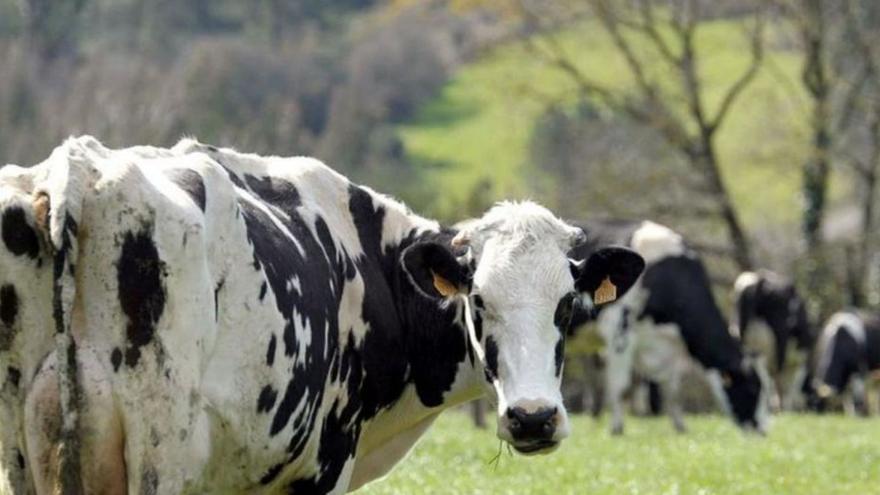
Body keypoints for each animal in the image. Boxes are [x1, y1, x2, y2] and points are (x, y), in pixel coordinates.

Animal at [0, 137, 644, 495]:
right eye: (478, 300)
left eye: (568, 303)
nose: (533, 419)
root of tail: (76, 169)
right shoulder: (323, 464)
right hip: (162, 450)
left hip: (24, 457)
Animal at [572, 220, 768, 434]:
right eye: (753, 388)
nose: (763, 429)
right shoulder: (619, 330)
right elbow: (621, 386)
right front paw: (617, 429)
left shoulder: (671, 343)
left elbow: (673, 390)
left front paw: (680, 426)